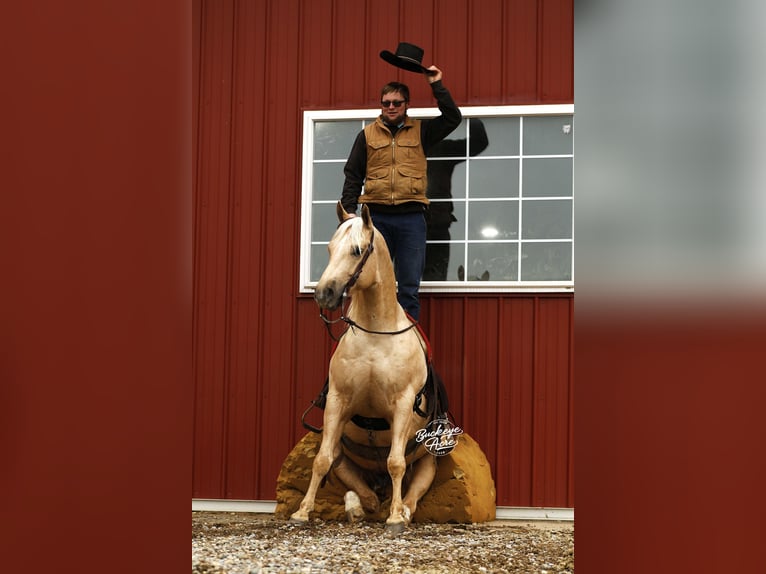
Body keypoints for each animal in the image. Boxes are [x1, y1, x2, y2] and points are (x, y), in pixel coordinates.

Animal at [290, 202, 438, 535]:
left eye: (357, 250)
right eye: (329, 249)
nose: (324, 294)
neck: (375, 334)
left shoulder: (402, 403)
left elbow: (395, 462)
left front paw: (395, 519)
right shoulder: (337, 399)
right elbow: (320, 460)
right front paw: (302, 512)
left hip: (428, 463)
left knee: (410, 494)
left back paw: (400, 510)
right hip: (345, 457)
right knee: (366, 495)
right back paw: (356, 507)